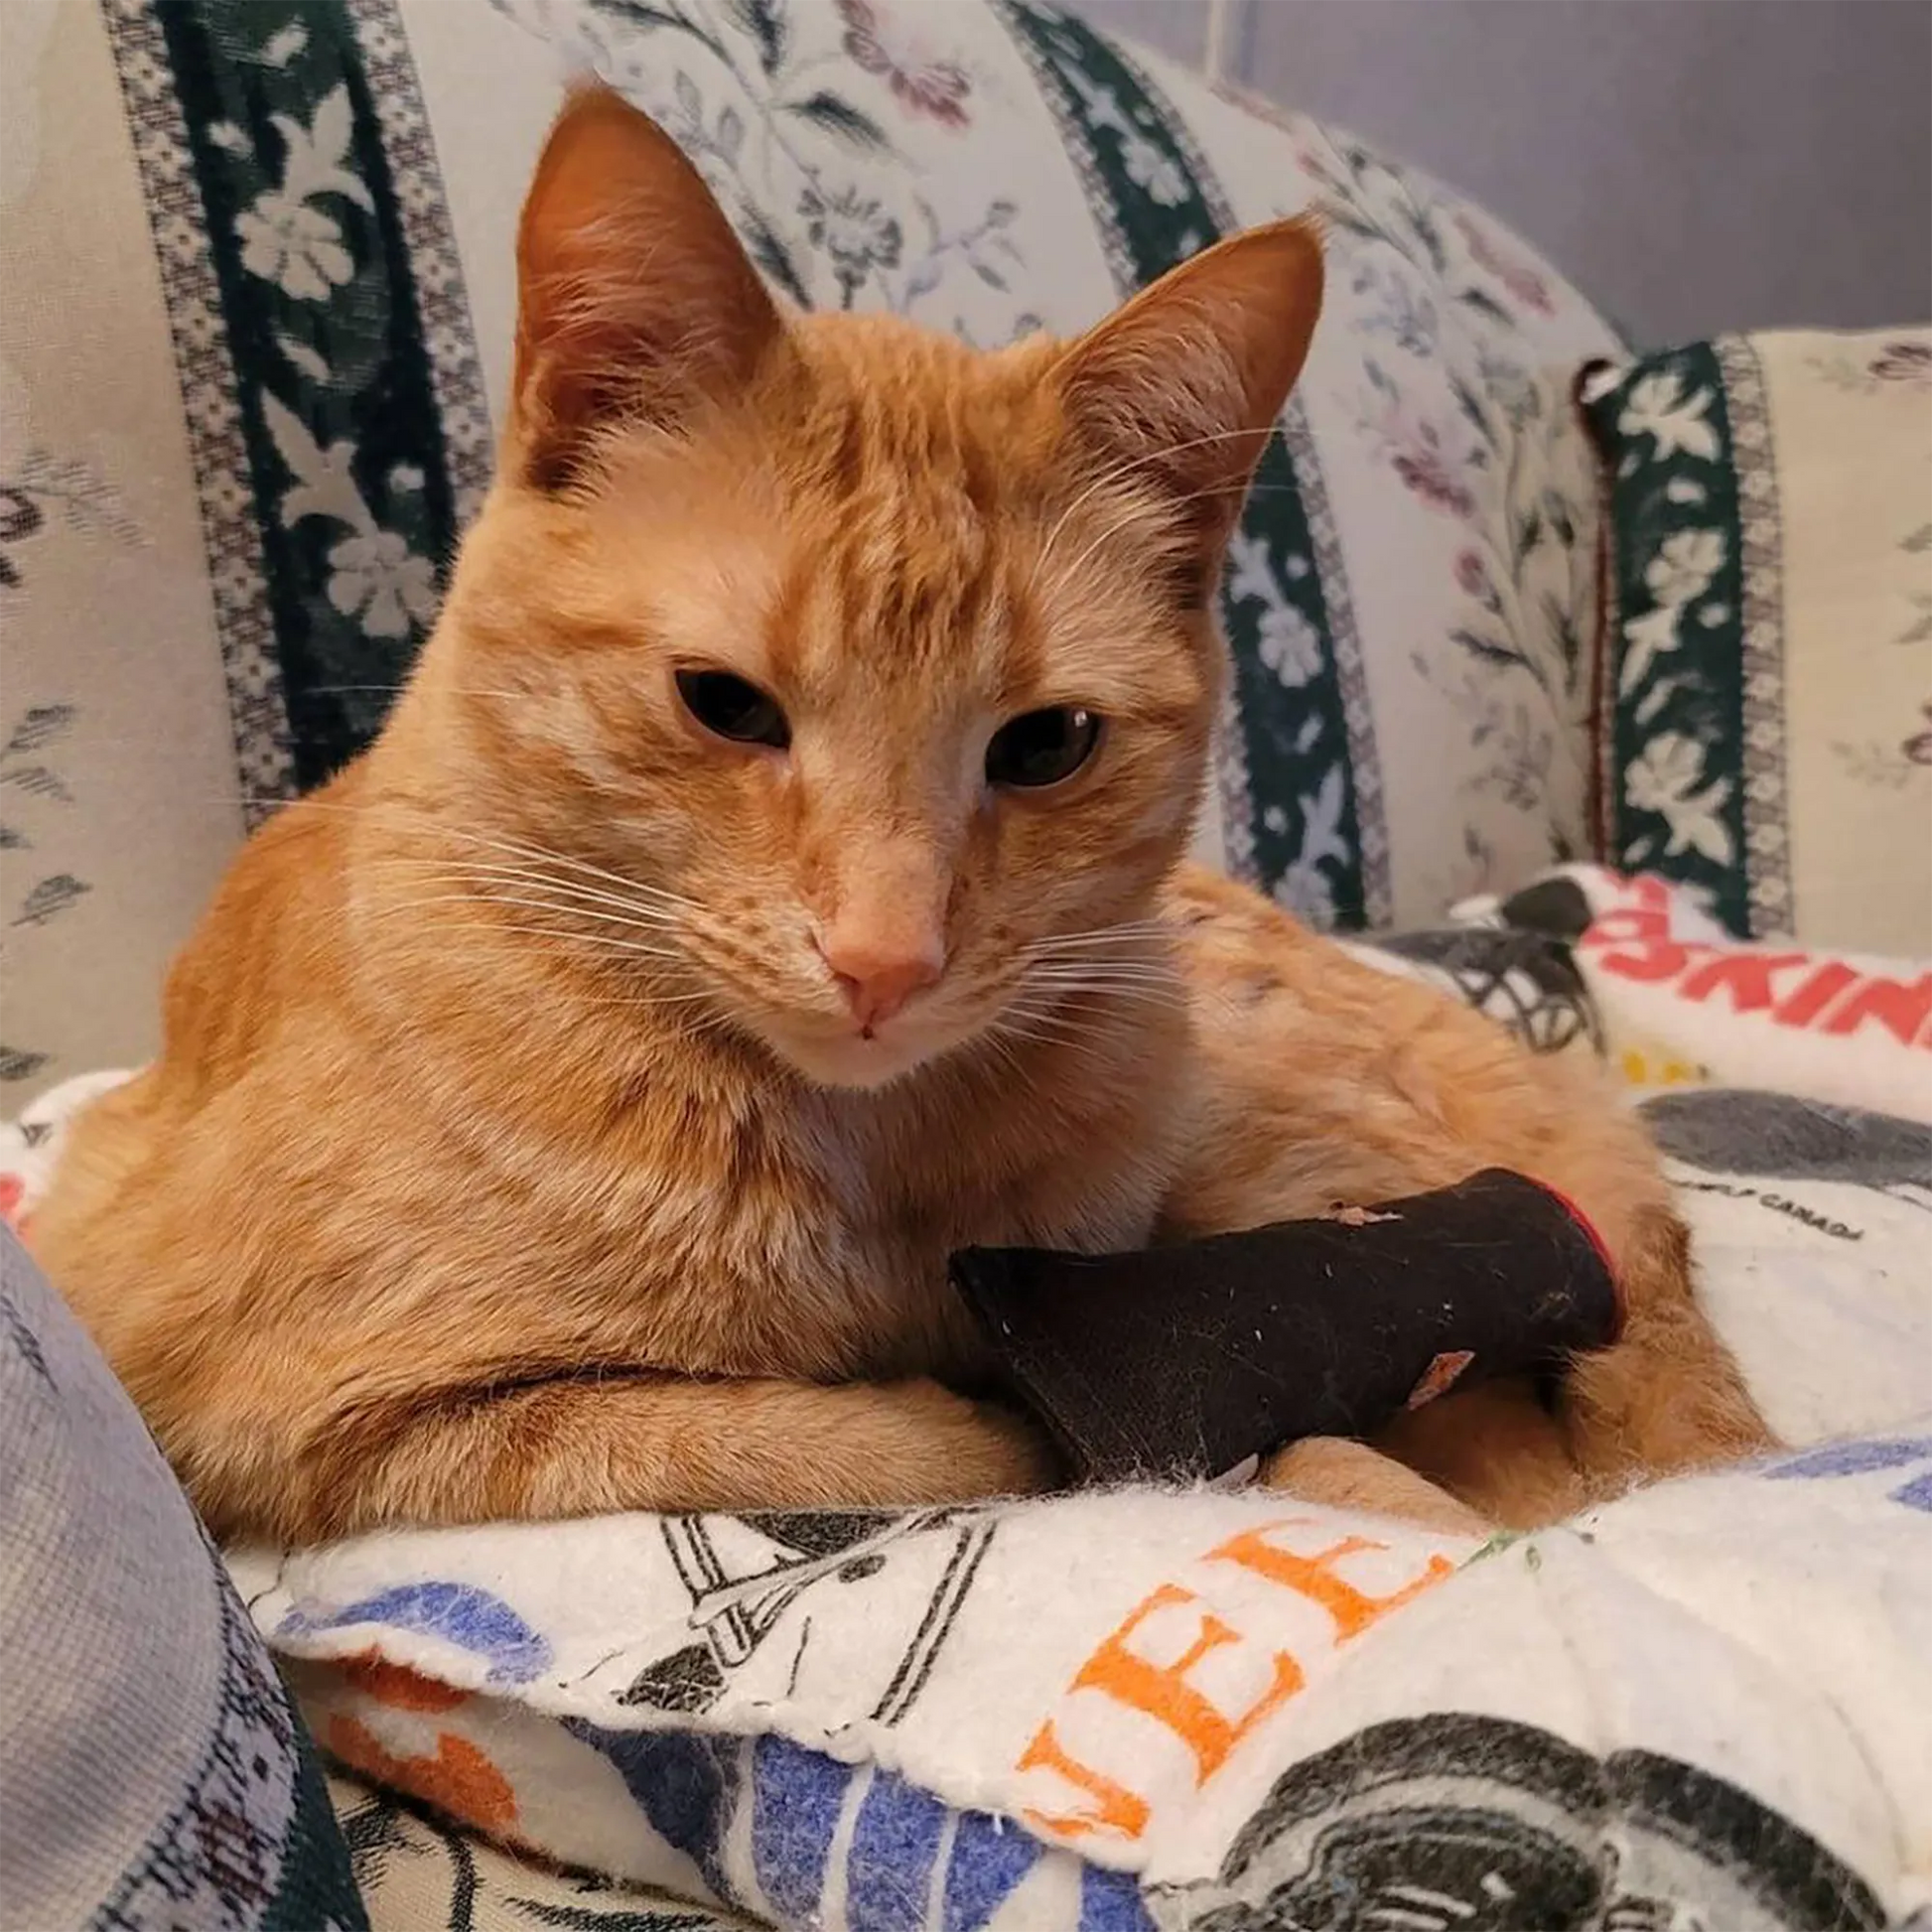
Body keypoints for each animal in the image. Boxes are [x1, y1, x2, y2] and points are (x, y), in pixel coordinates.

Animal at [30, 90, 1769, 1545]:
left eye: (1046, 743)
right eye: (724, 703)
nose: (885, 960)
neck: (846, 1172)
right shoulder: (312, 1417)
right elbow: (803, 1431)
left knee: (1606, 1288)